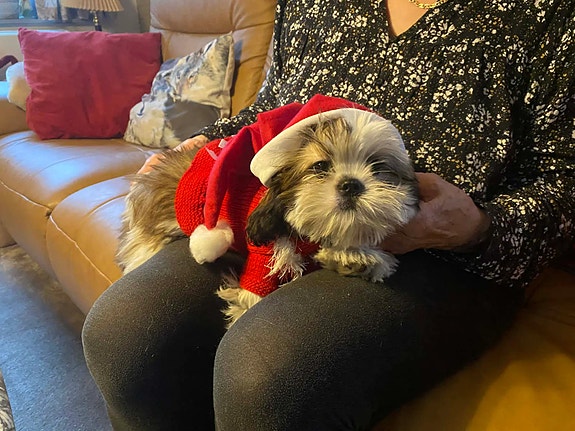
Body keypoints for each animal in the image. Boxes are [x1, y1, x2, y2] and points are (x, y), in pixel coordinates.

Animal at [117, 107, 419, 327]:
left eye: (378, 168)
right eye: (320, 166)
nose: (351, 184)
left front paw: (355, 258)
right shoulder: (263, 253)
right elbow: (252, 292)